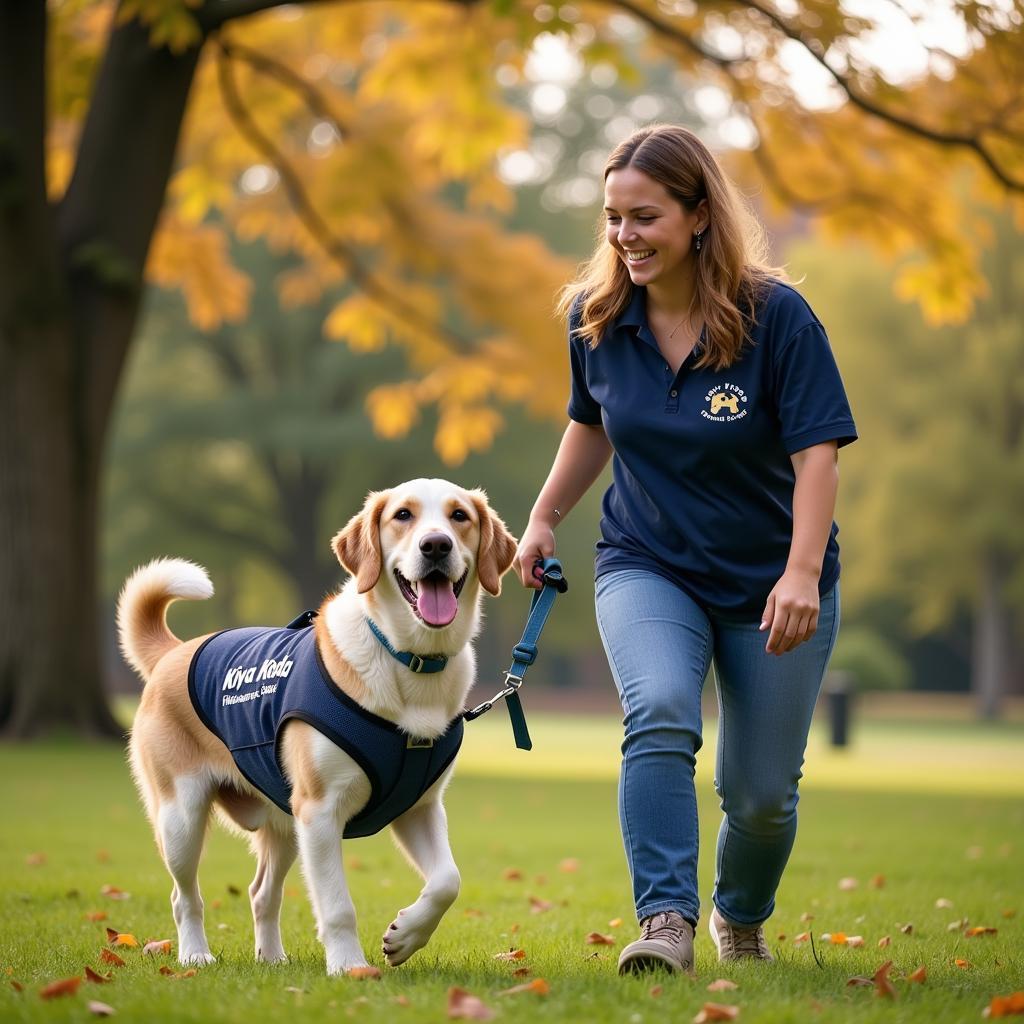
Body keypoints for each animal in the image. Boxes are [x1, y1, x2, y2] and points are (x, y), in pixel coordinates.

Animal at [118, 479, 516, 974]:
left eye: (459, 516)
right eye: (403, 515)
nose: (436, 545)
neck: (408, 660)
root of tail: (175, 651)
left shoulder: (419, 809)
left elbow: (448, 881)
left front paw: (405, 936)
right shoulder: (321, 811)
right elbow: (338, 905)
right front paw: (349, 967)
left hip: (284, 824)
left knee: (260, 894)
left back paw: (271, 959)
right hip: (182, 819)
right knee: (184, 897)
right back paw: (195, 954)